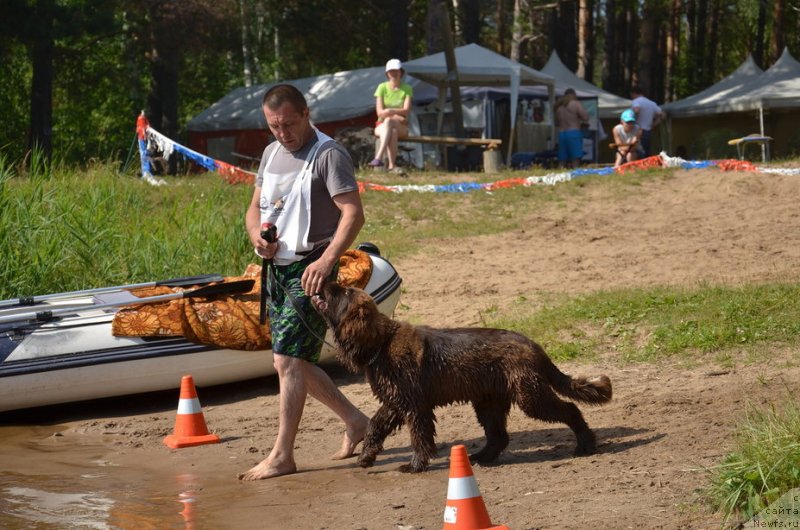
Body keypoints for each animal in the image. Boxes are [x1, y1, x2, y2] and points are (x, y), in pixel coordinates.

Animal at [312, 280, 612, 470]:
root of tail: (534, 346)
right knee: (499, 436)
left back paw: (585, 444)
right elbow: (375, 427)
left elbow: (419, 437)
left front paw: (415, 465)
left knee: (571, 409)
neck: (381, 343)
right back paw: (481, 458)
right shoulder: (395, 402)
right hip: (489, 401)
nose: (324, 280)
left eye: (343, 292)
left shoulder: (415, 406)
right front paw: (366, 457)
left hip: (530, 396)